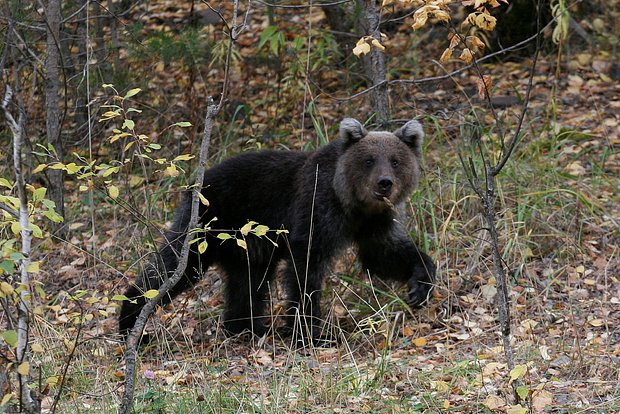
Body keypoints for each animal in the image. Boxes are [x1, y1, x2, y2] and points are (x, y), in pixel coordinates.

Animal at [117, 118, 436, 344]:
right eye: (369, 160)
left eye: (395, 160)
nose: (384, 183)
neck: (353, 204)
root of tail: (197, 181)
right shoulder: (317, 208)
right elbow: (307, 267)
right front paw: (311, 333)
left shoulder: (374, 222)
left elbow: (383, 254)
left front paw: (420, 285)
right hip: (209, 223)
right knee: (176, 266)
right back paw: (132, 321)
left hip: (247, 244)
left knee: (248, 281)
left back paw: (246, 327)